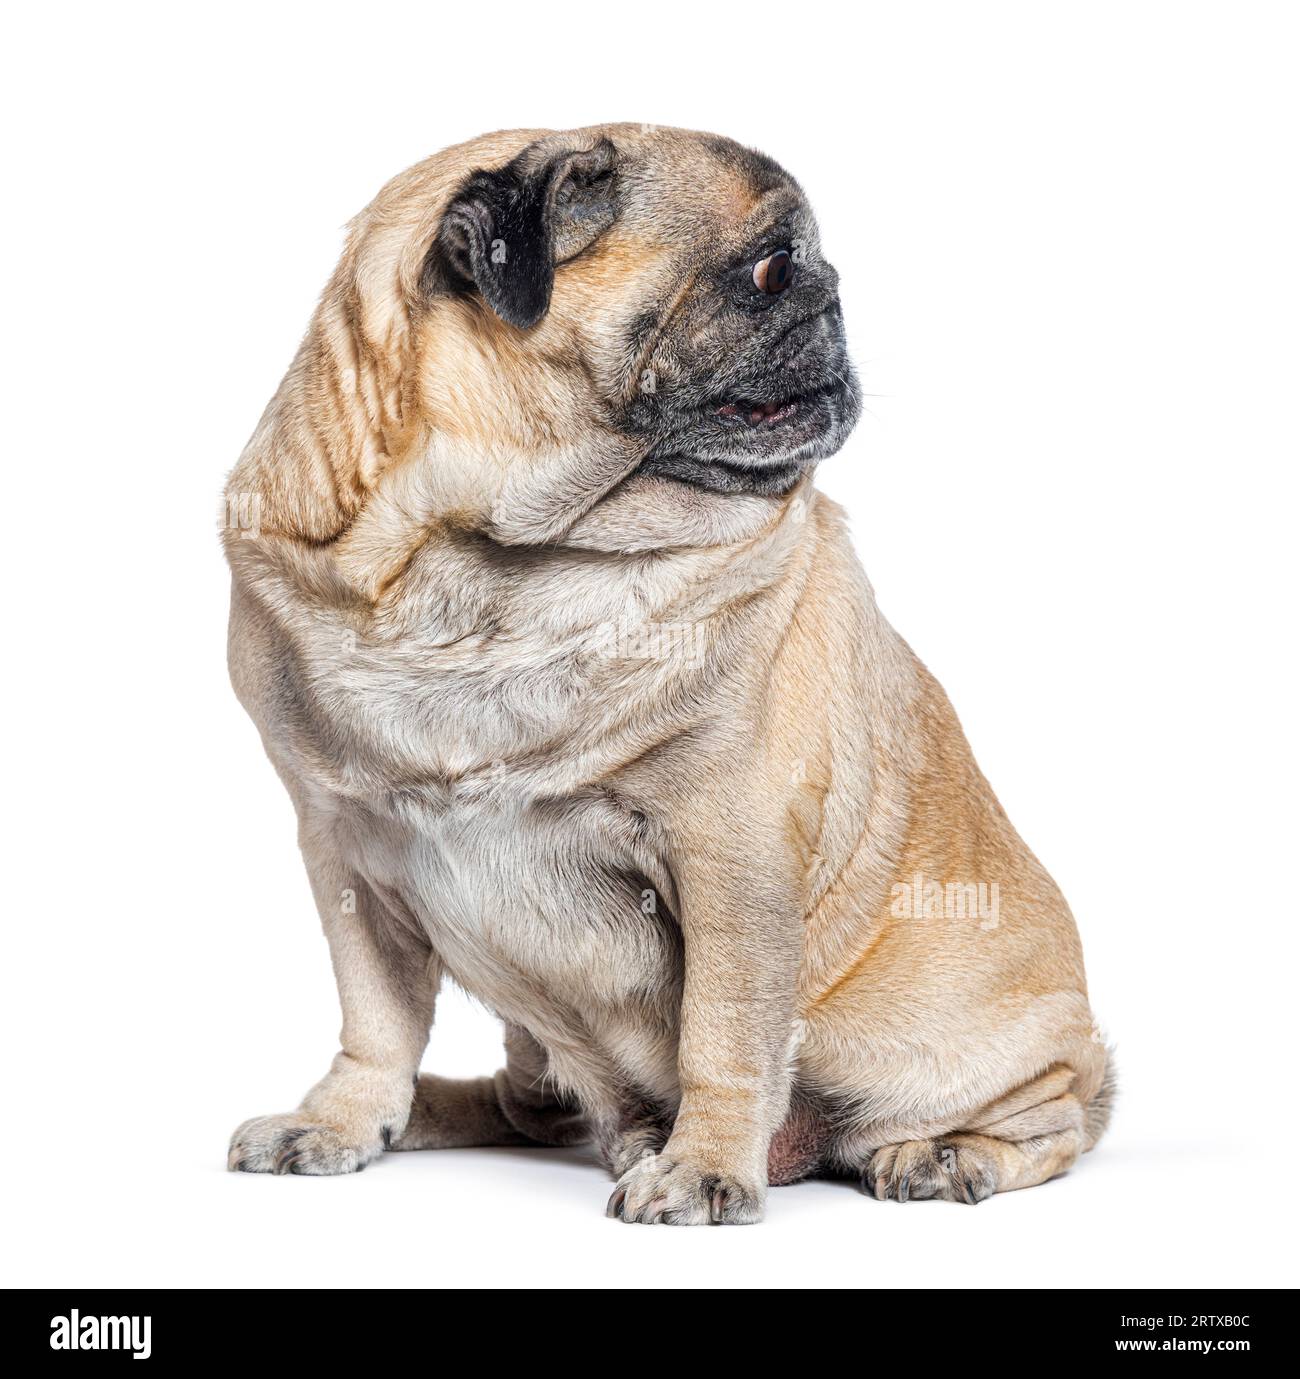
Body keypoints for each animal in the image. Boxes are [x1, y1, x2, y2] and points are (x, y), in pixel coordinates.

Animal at [220, 118, 1108, 1224]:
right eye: (770, 271)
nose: (833, 289)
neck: (491, 563)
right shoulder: (342, 848)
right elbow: (375, 1017)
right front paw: (343, 1120)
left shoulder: (729, 847)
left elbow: (723, 1031)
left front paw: (706, 1166)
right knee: (531, 1102)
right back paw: (443, 1109)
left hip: (929, 1043)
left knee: (1051, 1117)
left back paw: (942, 1153)